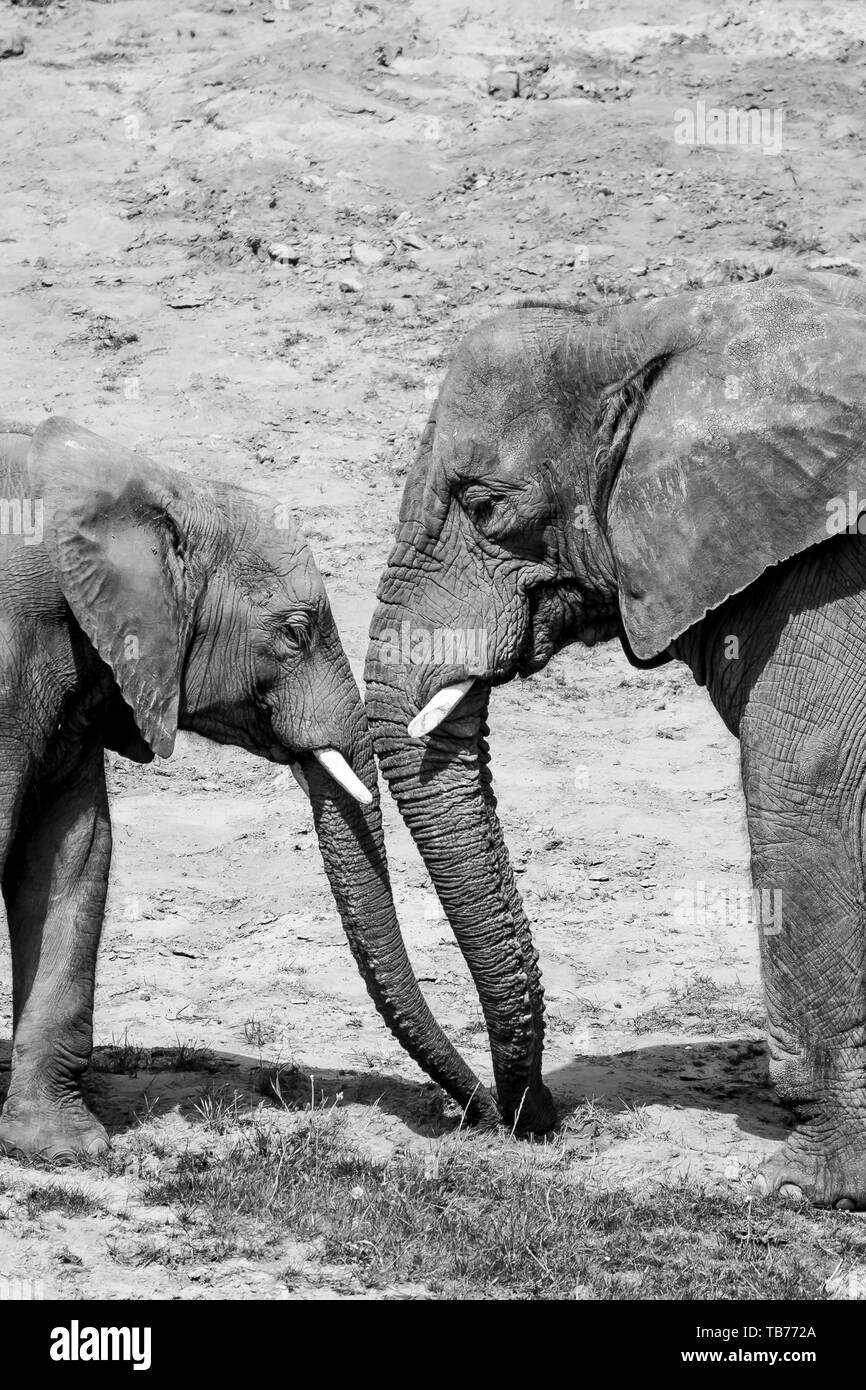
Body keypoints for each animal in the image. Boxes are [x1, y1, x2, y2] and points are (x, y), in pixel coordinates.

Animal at [366, 271, 866, 1206]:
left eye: (484, 506)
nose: (513, 1117)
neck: (643, 330)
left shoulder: (827, 579)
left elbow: (804, 791)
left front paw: (811, 1186)